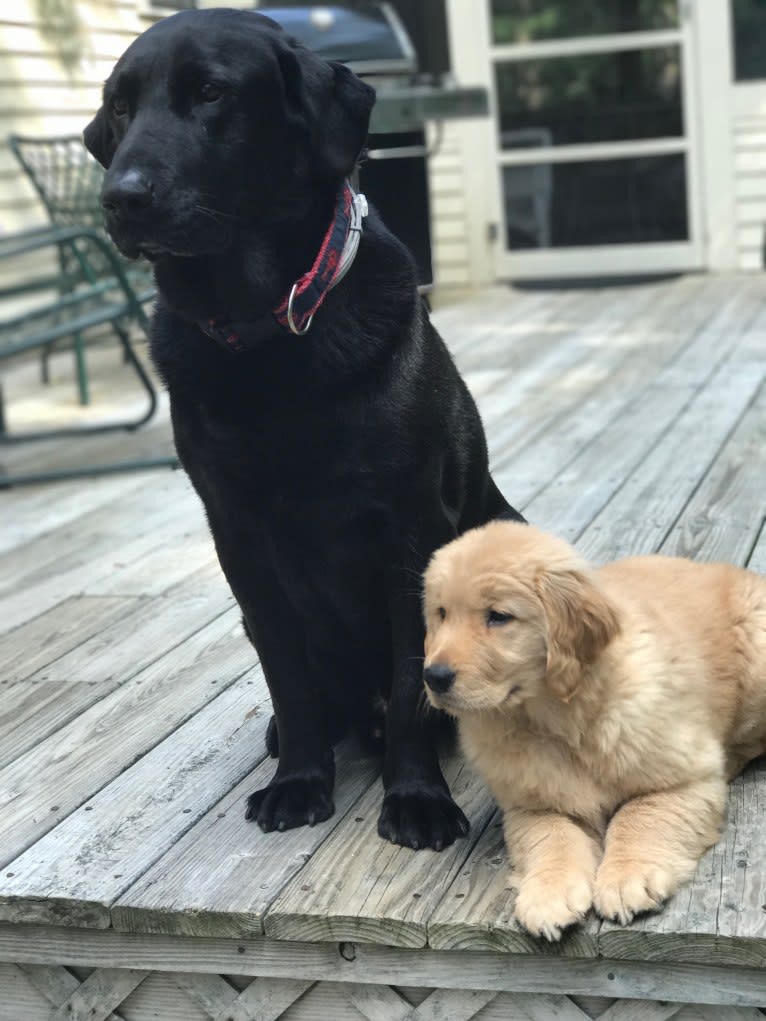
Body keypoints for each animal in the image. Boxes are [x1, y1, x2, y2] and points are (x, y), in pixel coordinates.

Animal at [85, 9, 527, 853]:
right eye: (121, 107)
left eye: (212, 92)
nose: (120, 198)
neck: (266, 333)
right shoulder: (240, 539)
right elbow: (288, 678)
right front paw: (298, 781)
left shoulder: (408, 530)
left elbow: (413, 678)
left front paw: (416, 798)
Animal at [422, 526, 766, 939]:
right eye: (441, 613)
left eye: (499, 617)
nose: (433, 676)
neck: (557, 720)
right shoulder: (532, 805)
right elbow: (551, 837)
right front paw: (549, 894)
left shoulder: (684, 777)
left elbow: (638, 815)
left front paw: (626, 877)